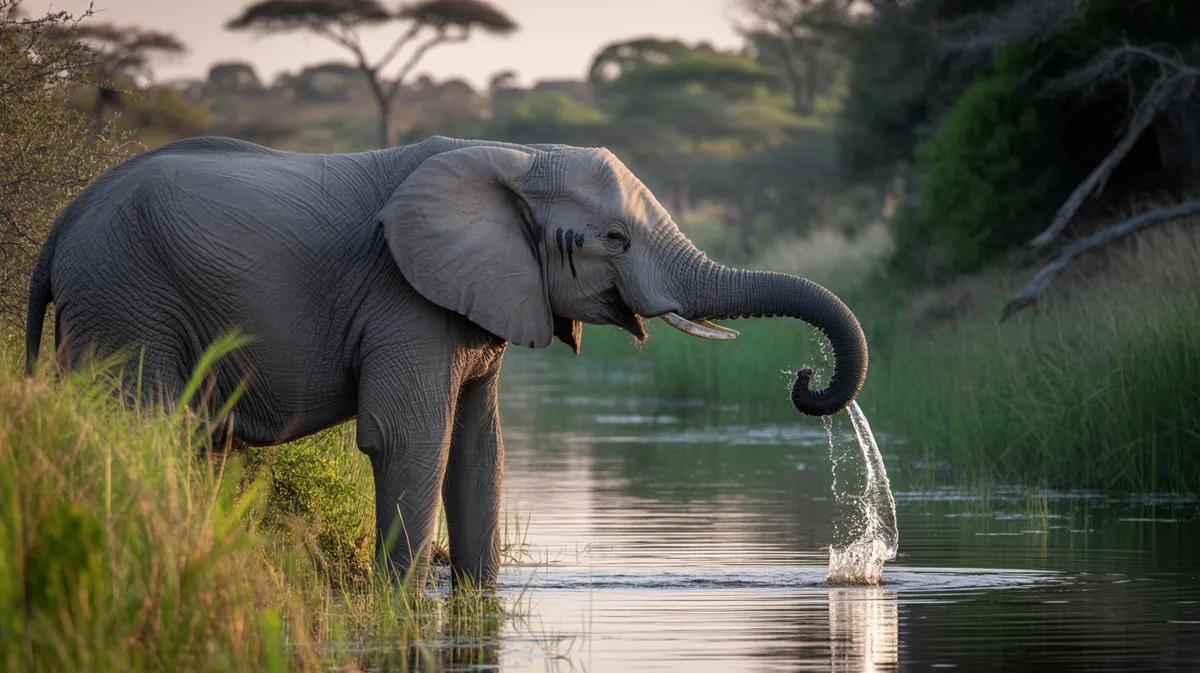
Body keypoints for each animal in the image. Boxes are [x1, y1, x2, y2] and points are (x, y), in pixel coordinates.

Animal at [24, 135, 868, 591]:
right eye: (616, 240)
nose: (803, 379)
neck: (517, 156)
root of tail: (61, 224)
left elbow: (478, 450)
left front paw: (476, 600)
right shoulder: (405, 295)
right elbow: (407, 440)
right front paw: (397, 605)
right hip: (127, 300)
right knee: (142, 430)